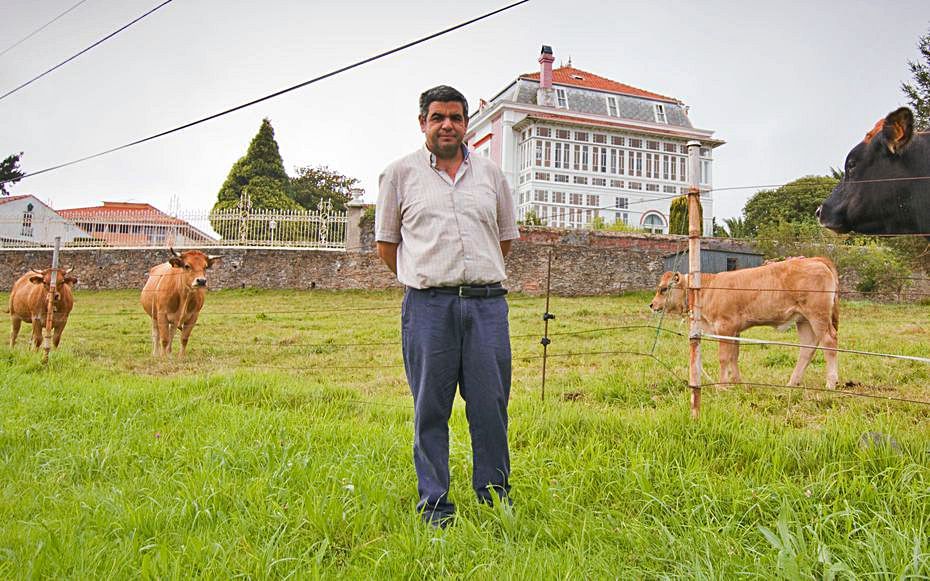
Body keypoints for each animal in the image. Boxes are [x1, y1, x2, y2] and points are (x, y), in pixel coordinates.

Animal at [648, 258, 836, 386]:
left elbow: (724, 357)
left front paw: (722, 386)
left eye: (663, 289)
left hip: (818, 316)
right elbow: (733, 356)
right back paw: (792, 383)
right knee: (807, 348)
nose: (652, 304)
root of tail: (815, 259)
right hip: (803, 320)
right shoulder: (735, 331)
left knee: (829, 343)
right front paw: (737, 382)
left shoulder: (725, 327)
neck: (707, 289)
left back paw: (831, 383)